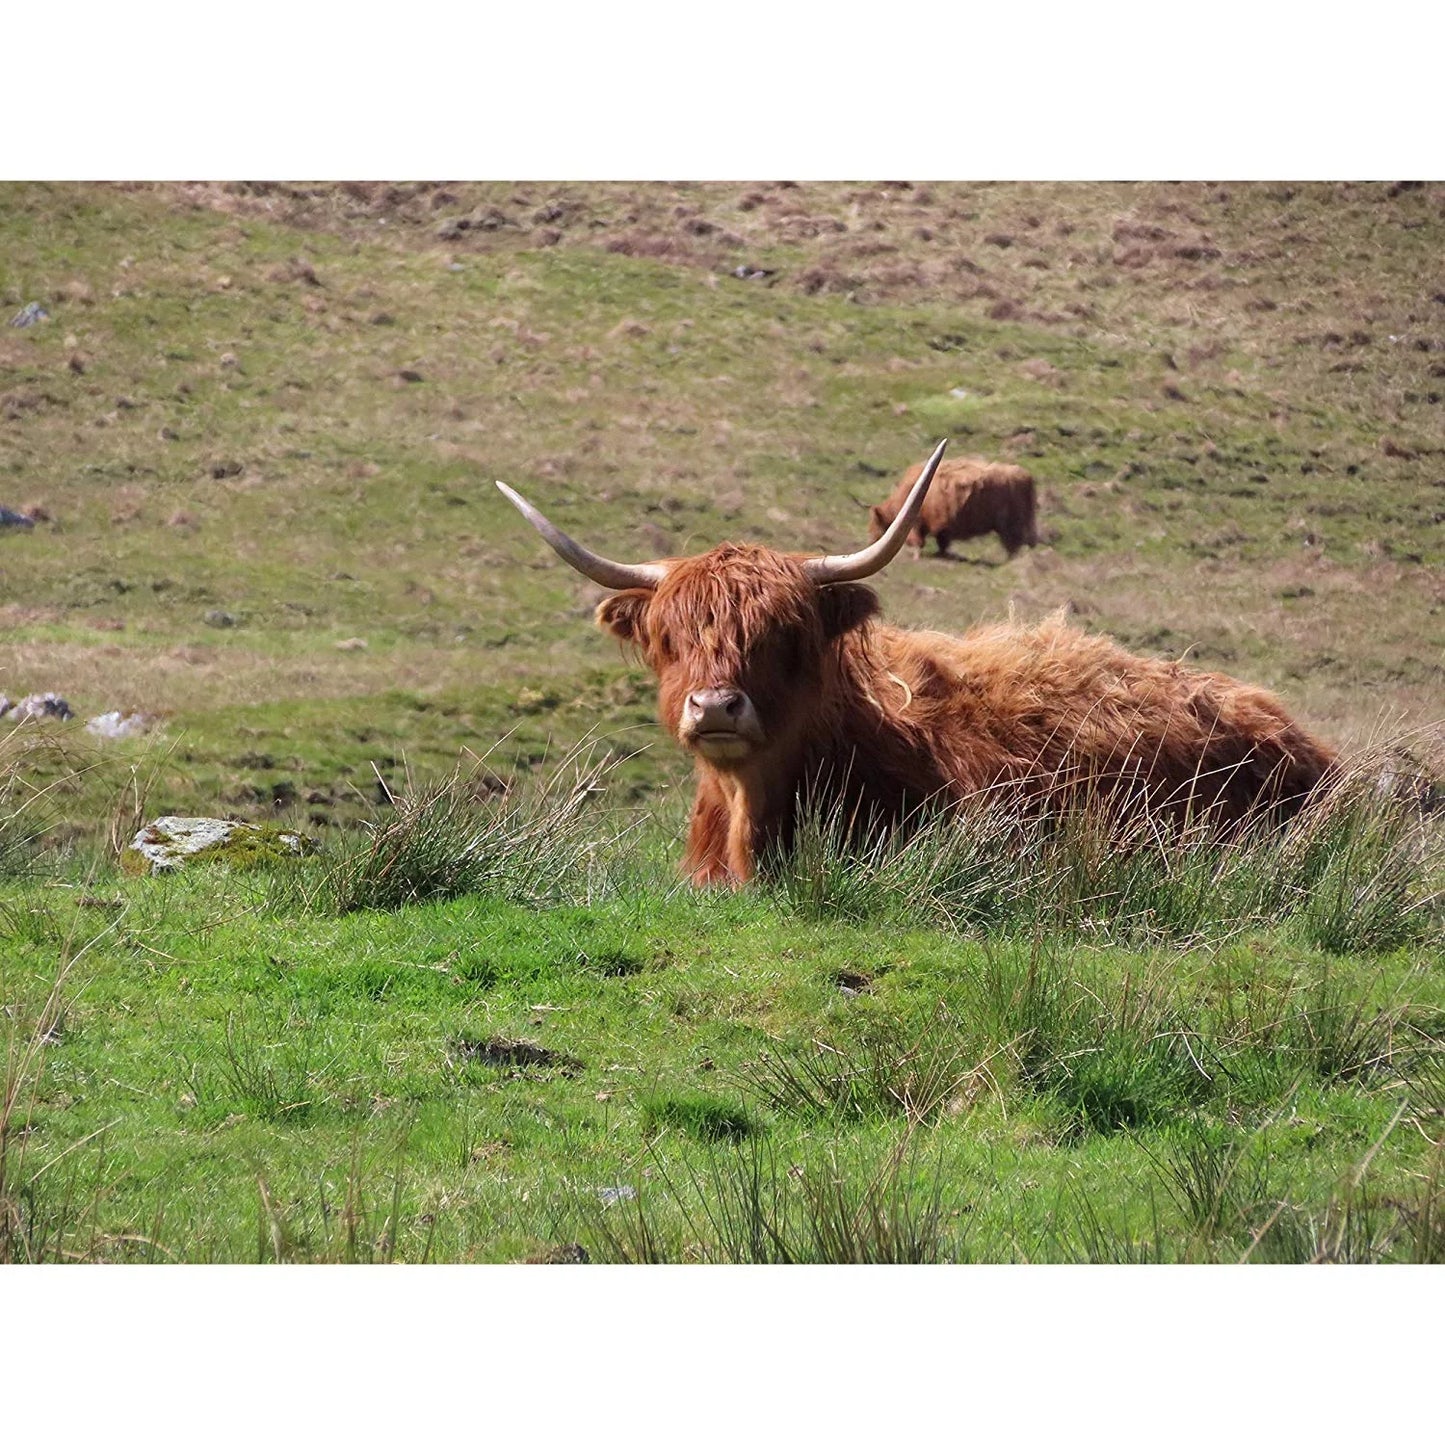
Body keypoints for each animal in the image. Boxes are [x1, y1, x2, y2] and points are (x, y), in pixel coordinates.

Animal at [867, 456, 1040, 557]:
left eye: (875, 523)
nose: (870, 540)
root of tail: (1024, 474)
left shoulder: (917, 523)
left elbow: (918, 540)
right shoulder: (942, 526)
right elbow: (941, 541)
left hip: (1010, 525)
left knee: (1013, 545)